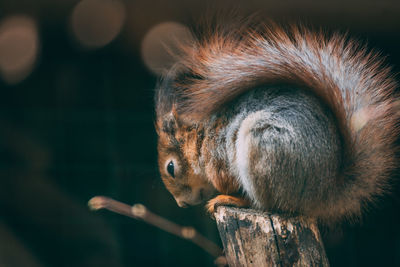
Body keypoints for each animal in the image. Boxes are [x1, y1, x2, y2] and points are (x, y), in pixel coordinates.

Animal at [154, 19, 400, 223]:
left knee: (266, 205)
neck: (200, 137)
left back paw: (233, 200)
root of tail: (321, 195)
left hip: (263, 149)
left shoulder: (217, 155)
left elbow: (225, 180)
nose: (181, 204)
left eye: (170, 168)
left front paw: (224, 193)